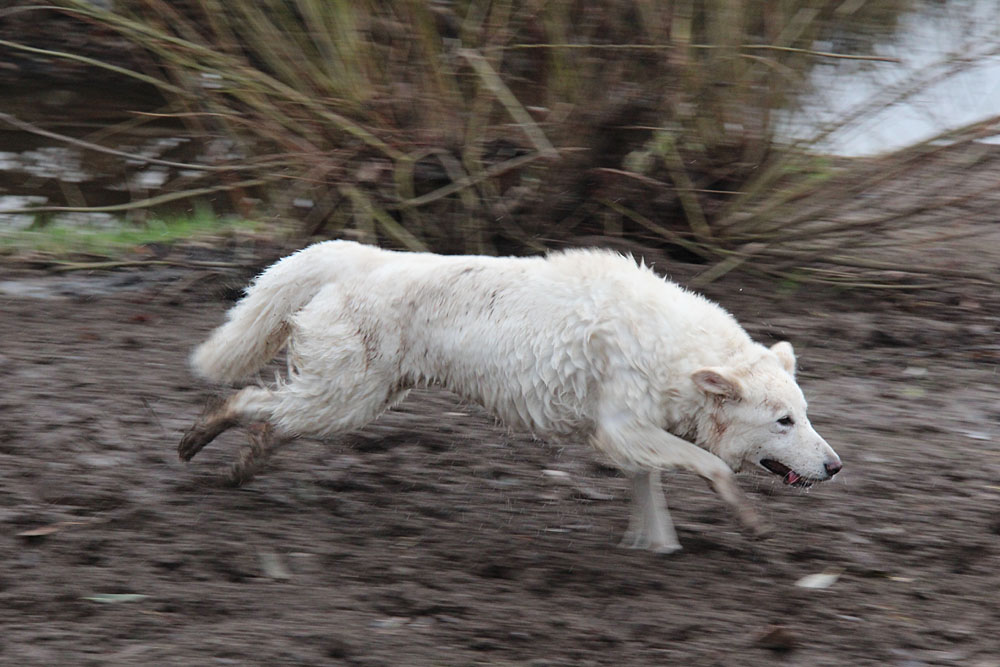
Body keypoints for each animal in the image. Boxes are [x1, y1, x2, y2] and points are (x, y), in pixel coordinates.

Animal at [178, 240, 836, 552]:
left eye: (804, 415)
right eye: (783, 421)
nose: (835, 467)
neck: (674, 347)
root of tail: (357, 256)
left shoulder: (631, 437)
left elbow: (651, 493)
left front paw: (655, 547)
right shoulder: (622, 428)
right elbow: (710, 469)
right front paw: (749, 522)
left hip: (358, 397)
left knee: (271, 418)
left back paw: (240, 463)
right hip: (345, 398)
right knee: (250, 402)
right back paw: (199, 440)